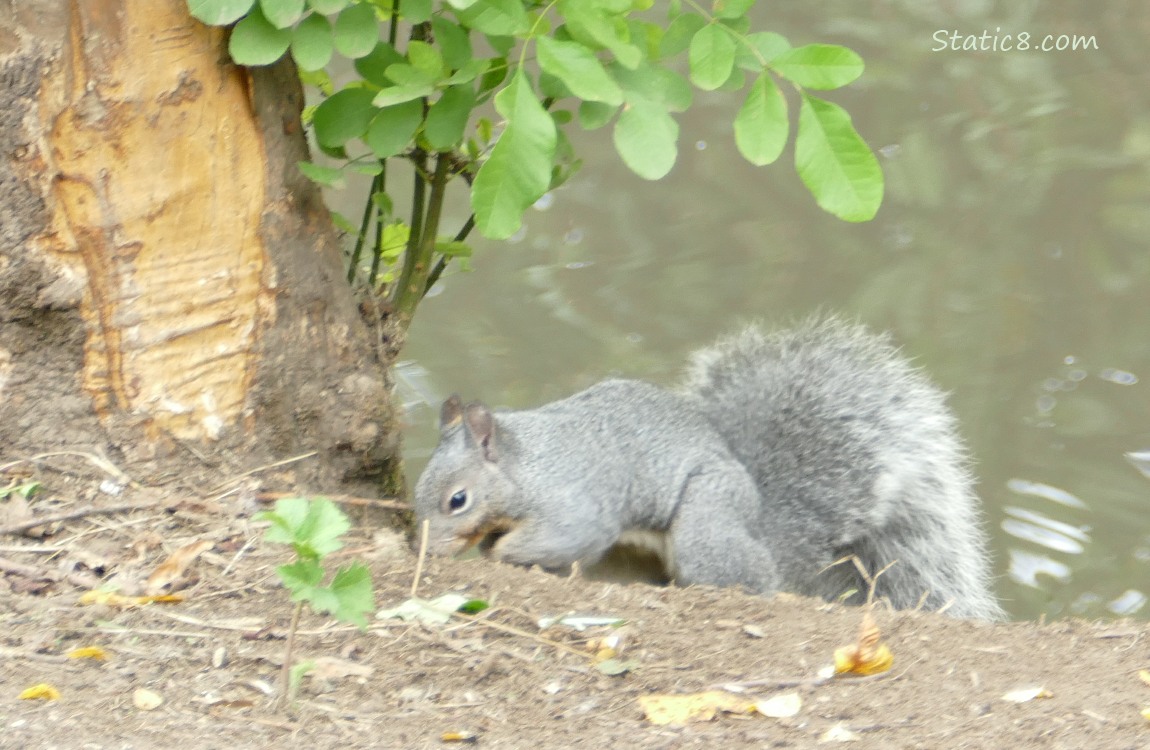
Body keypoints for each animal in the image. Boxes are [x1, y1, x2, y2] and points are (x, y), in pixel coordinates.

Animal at [413, 317, 1003, 620]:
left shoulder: (573, 506)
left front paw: (499, 553)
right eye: (418, 487)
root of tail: (761, 525)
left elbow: (561, 537)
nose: (426, 548)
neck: (525, 461)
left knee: (751, 578)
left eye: (458, 500)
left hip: (706, 525)